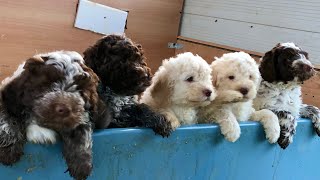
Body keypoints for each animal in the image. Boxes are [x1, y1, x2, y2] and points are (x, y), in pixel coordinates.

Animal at [0, 51, 109, 180]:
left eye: (81, 92)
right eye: (48, 85)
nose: (64, 108)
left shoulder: (82, 114)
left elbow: (81, 128)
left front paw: (81, 164)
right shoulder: (9, 96)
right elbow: (6, 119)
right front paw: (9, 150)